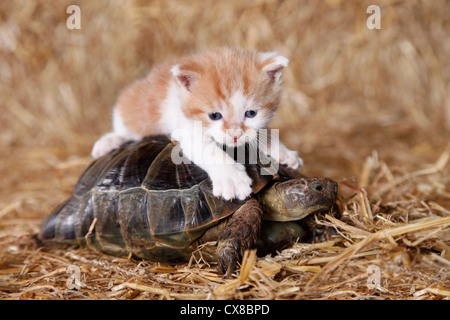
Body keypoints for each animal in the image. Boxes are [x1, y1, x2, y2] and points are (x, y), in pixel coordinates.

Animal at [91, 47, 302, 200]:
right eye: (214, 115)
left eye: (251, 113)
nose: (235, 135)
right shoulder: (187, 131)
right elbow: (210, 151)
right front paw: (231, 179)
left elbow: (262, 133)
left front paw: (282, 152)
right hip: (131, 109)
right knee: (123, 128)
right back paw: (108, 142)